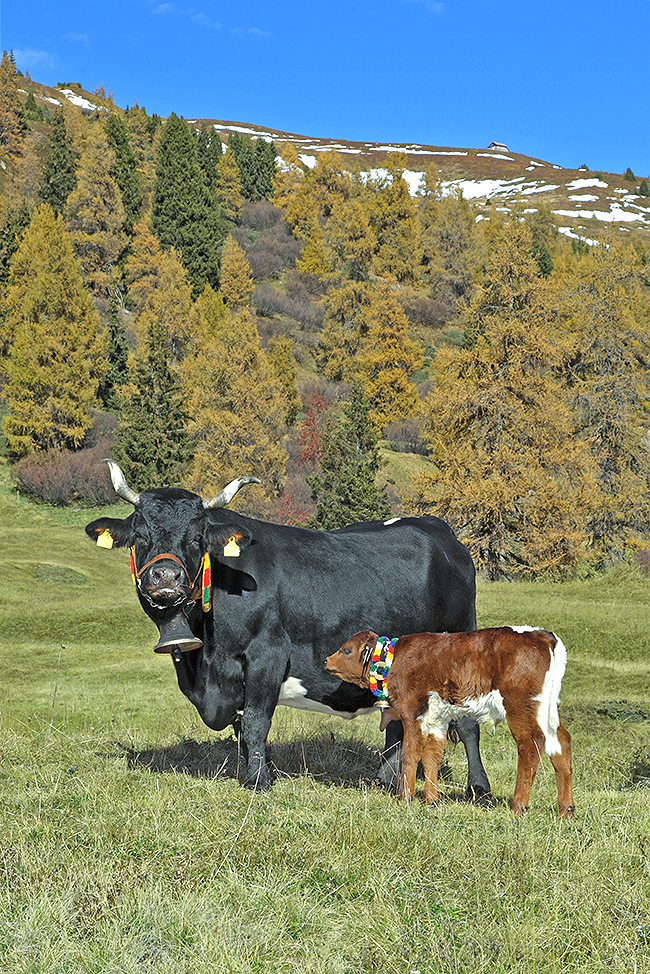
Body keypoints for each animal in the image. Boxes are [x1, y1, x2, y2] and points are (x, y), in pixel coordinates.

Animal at [86, 462, 488, 796]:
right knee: (398, 723)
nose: (166, 576)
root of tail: (440, 529)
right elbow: (241, 730)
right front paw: (249, 773)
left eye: (197, 538)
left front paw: (258, 782)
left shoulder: (268, 653)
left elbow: (255, 723)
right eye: (139, 535)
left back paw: (478, 789)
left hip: (461, 642)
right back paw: (387, 781)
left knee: (467, 723)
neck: (205, 663)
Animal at [324, 628, 572, 820]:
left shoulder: (411, 712)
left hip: (520, 705)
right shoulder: (436, 720)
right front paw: (431, 800)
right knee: (561, 744)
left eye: (346, 650)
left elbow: (410, 754)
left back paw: (518, 806)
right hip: (548, 708)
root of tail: (542, 635)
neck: (394, 660)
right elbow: (431, 756)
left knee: (531, 744)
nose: (326, 660)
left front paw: (405, 798)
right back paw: (566, 810)